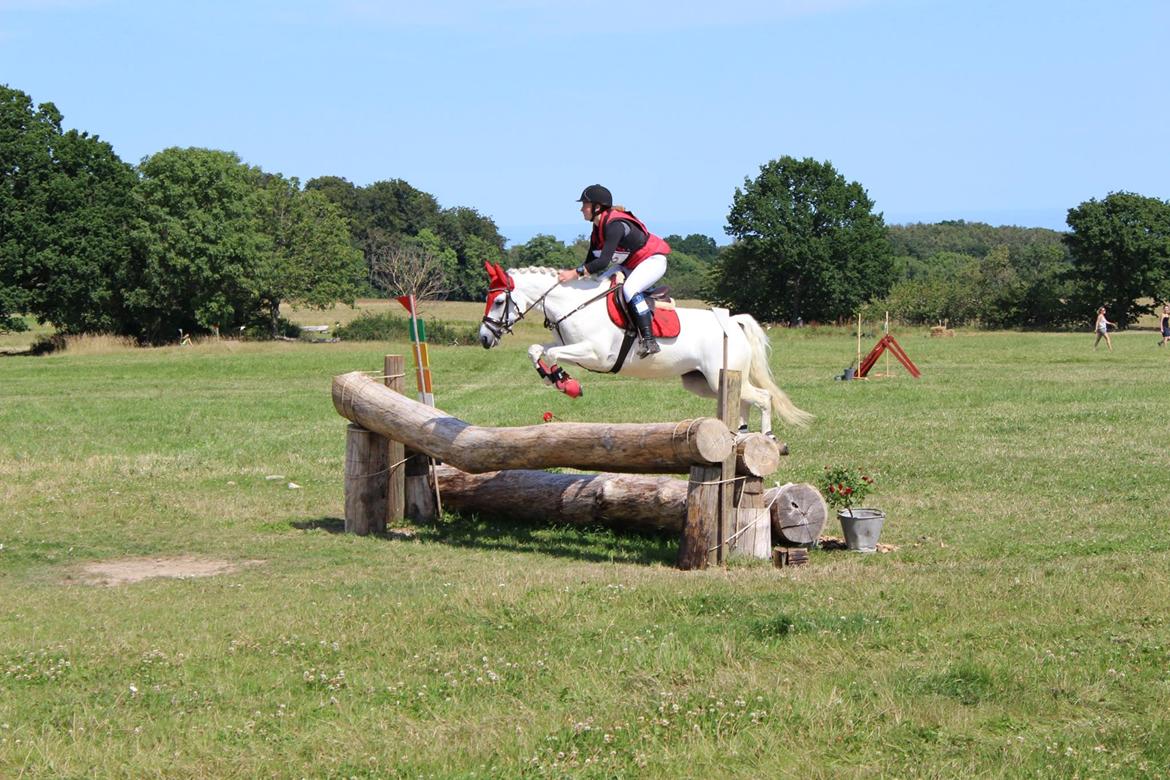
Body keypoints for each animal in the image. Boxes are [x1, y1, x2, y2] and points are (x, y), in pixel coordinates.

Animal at [478, 262, 811, 436]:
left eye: (498, 300)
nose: (483, 338)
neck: (576, 304)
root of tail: (733, 322)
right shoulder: (568, 344)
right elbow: (537, 349)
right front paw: (556, 379)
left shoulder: (597, 355)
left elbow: (550, 354)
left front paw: (566, 383)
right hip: (706, 382)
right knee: (741, 400)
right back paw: (739, 433)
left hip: (720, 378)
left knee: (763, 397)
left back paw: (766, 435)